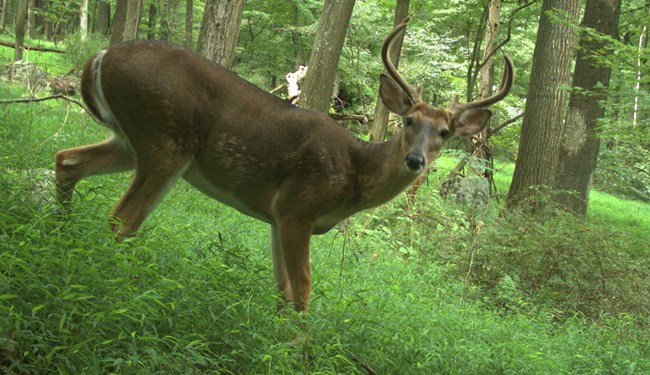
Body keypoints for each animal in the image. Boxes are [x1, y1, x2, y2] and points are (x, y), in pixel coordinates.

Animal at [54, 16, 512, 312]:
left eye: (445, 133)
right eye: (410, 121)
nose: (416, 160)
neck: (354, 175)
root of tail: (100, 56)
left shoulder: (276, 216)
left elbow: (282, 289)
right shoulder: (298, 206)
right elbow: (303, 289)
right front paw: (299, 351)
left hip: (131, 139)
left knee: (67, 160)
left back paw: (62, 238)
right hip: (165, 139)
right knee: (120, 220)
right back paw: (118, 285)